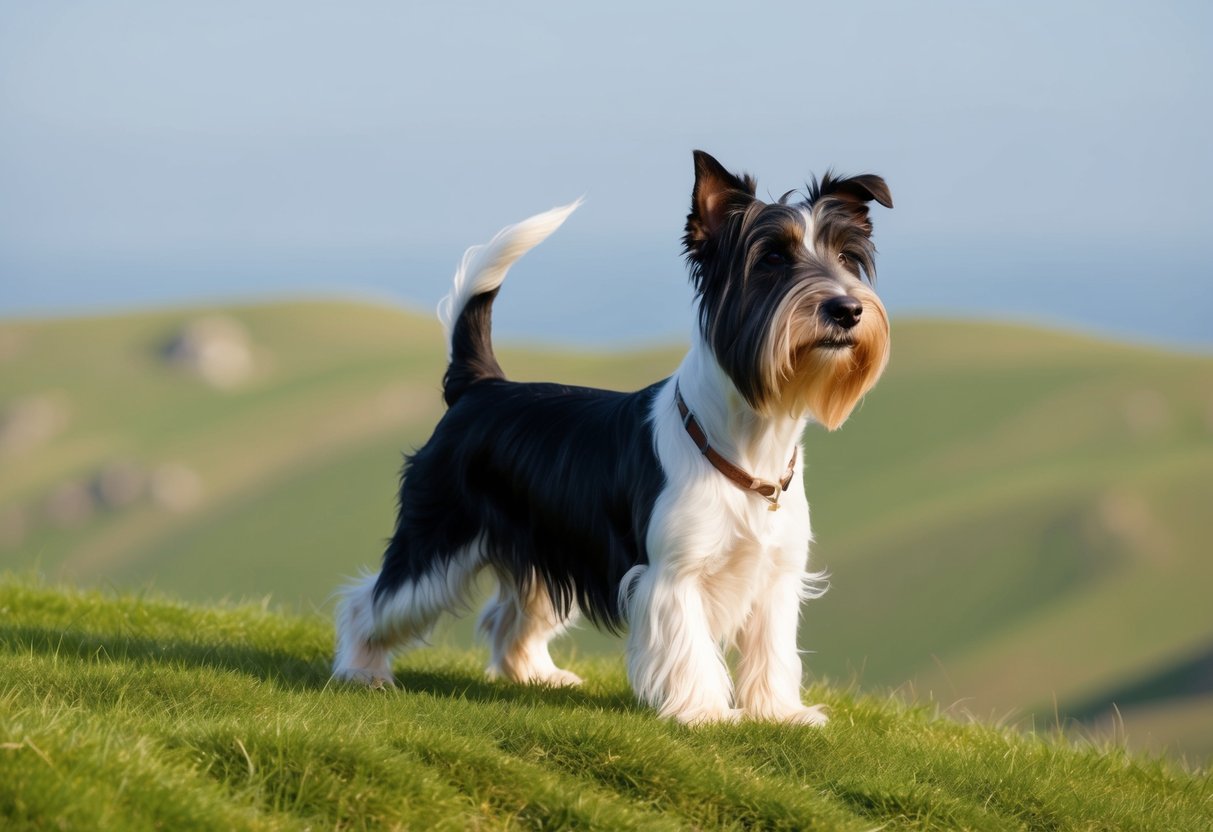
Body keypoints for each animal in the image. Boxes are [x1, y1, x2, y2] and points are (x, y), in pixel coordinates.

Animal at [332, 153, 892, 727]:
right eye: (773, 258)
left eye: (846, 257)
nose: (847, 309)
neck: (746, 442)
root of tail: (480, 387)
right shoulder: (673, 574)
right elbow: (690, 647)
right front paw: (705, 713)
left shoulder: (777, 574)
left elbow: (772, 649)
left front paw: (780, 713)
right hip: (438, 539)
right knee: (372, 602)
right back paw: (362, 671)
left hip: (541, 550)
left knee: (508, 615)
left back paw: (537, 675)